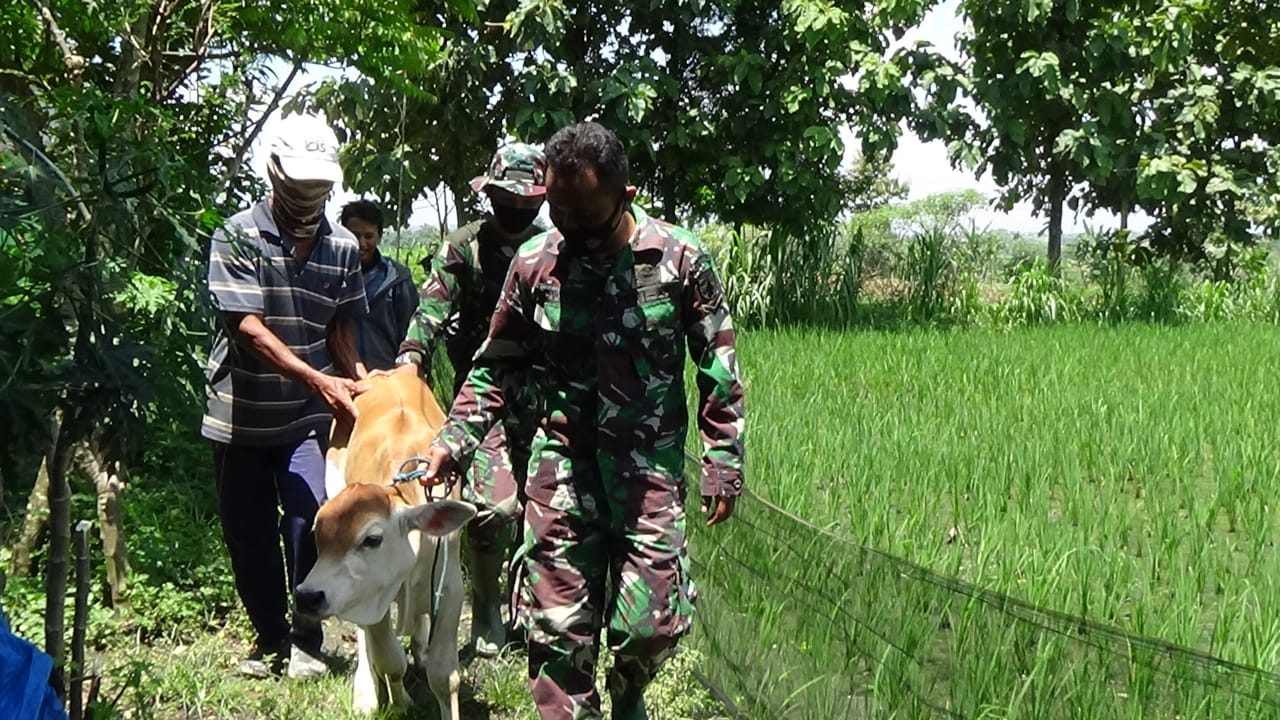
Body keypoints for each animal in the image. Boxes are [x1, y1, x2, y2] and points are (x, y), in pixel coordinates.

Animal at [293, 371, 478, 712]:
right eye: (318, 534)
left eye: (373, 538)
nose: (307, 596)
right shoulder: (371, 596)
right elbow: (389, 660)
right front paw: (399, 702)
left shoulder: (450, 590)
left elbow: (444, 677)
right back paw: (366, 691)